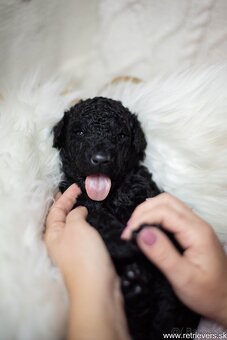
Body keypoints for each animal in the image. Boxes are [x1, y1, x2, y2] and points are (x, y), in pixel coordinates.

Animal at [52, 97, 199, 338]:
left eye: (121, 135)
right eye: (79, 132)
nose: (101, 159)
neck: (109, 195)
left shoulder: (142, 188)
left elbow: (143, 205)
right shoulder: (77, 200)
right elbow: (99, 217)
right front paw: (122, 243)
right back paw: (134, 288)